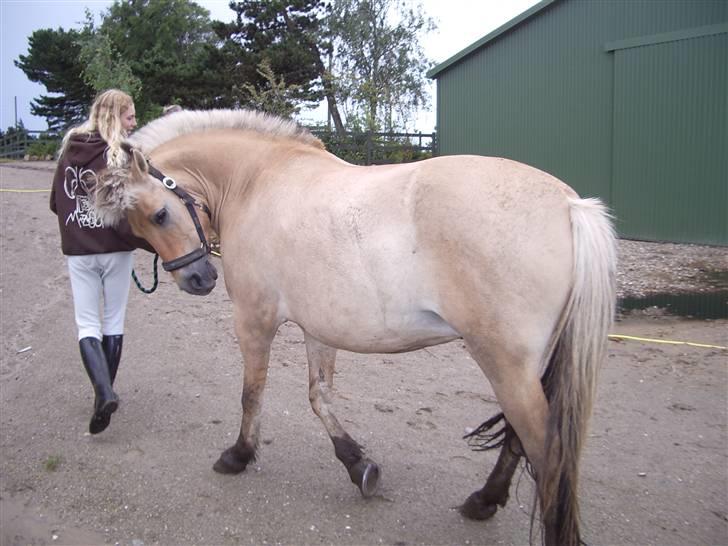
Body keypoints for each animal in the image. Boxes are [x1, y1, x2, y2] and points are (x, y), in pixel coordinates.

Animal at [95, 108, 616, 540]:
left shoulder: (254, 320)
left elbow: (252, 394)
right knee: (519, 439)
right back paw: (482, 502)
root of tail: (570, 206)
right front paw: (357, 464)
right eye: (137, 227)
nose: (197, 279)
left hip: (505, 364)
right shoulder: (317, 327)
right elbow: (319, 397)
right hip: (525, 368)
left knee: (546, 454)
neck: (257, 180)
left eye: (160, 214)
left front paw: (238, 456)